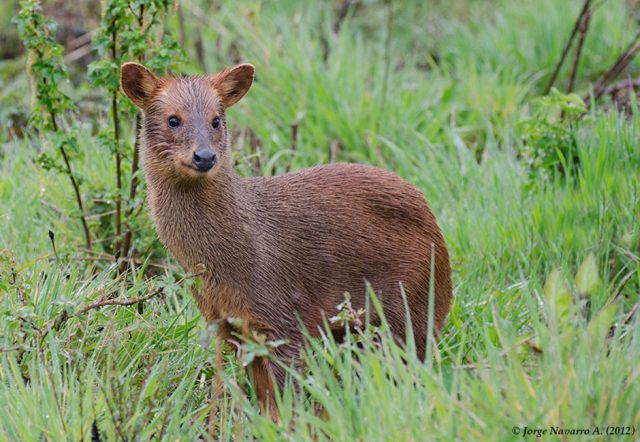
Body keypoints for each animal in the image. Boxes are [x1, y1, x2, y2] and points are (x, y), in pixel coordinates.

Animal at [119, 62, 450, 418]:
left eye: (216, 119)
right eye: (173, 119)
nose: (204, 156)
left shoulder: (284, 315)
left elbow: (285, 401)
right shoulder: (230, 326)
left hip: (409, 309)